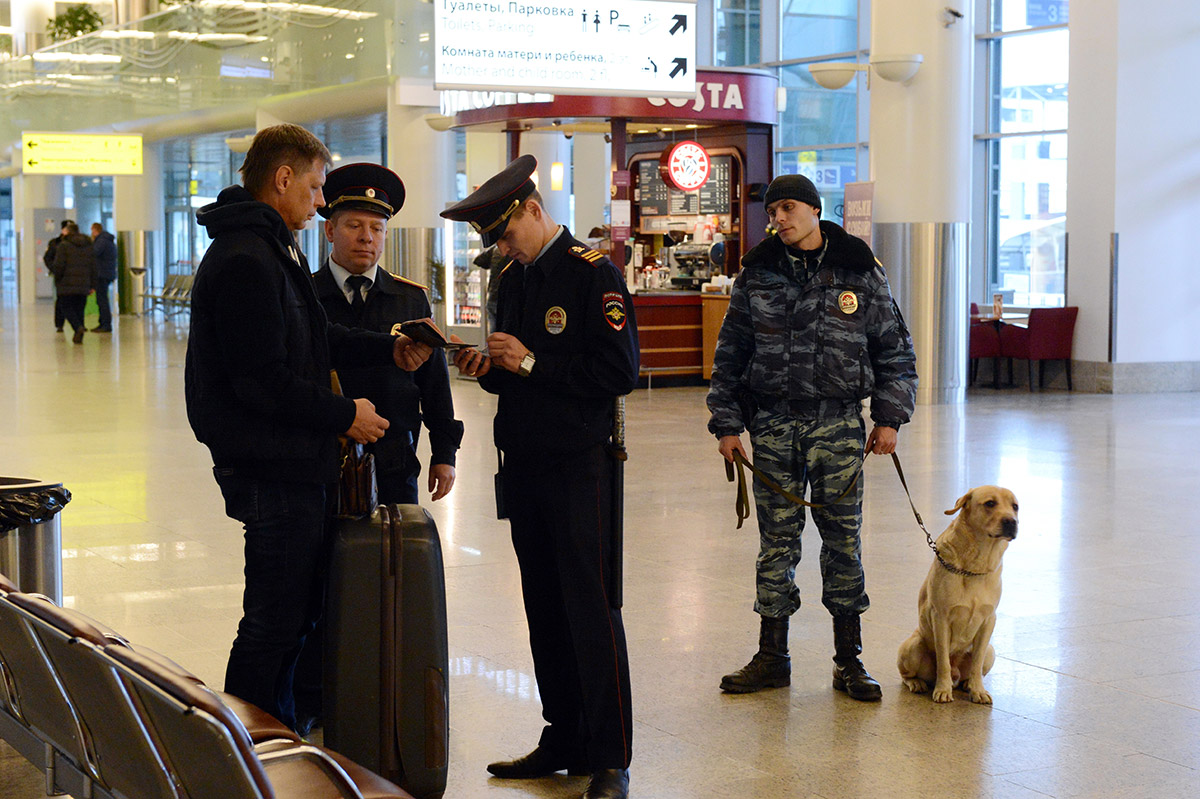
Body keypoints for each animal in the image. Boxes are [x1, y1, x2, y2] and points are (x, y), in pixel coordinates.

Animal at [897, 482, 1017, 700]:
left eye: (1015, 506)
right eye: (990, 503)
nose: (1011, 522)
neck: (976, 565)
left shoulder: (989, 620)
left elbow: (977, 663)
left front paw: (978, 690)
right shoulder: (941, 617)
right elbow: (943, 660)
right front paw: (943, 690)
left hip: (991, 651)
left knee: (973, 669)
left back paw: (968, 683)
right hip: (913, 646)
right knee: (907, 674)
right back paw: (917, 683)